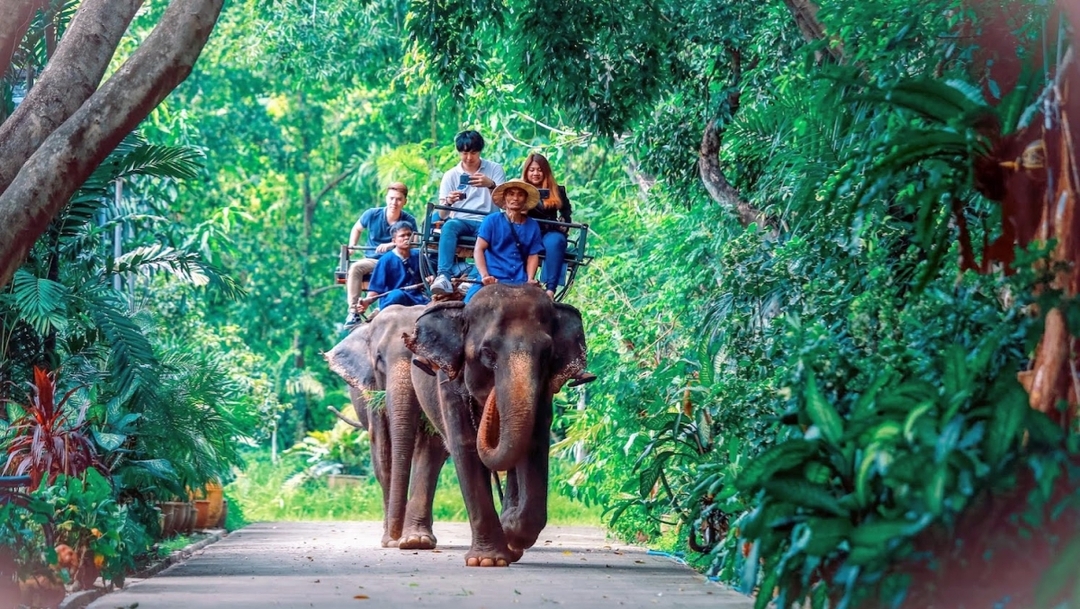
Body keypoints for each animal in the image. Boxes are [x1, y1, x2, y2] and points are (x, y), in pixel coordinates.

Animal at [324, 304, 449, 549]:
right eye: (379, 357)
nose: (394, 535)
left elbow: (431, 447)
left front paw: (415, 540)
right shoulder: (372, 389)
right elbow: (382, 447)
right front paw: (392, 540)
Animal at [404, 283, 588, 566]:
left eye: (547, 354)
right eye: (487, 353)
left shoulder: (544, 392)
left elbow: (534, 444)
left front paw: (510, 529)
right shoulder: (448, 383)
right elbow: (466, 448)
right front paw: (487, 560)